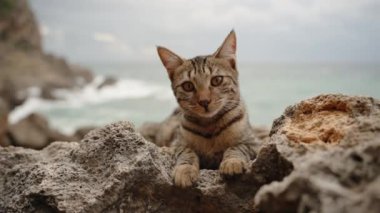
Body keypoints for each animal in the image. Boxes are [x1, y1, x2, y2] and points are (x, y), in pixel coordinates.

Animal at [156, 30, 256, 188]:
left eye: (217, 80)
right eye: (188, 86)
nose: (204, 101)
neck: (210, 126)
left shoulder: (253, 143)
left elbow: (237, 147)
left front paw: (232, 161)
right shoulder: (177, 144)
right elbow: (186, 152)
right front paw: (185, 169)